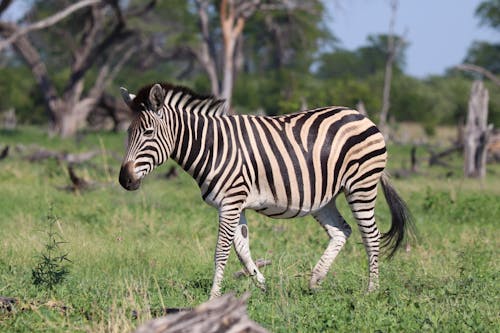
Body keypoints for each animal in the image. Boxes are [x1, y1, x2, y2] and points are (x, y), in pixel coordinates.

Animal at [119, 82, 412, 298]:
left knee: (370, 235)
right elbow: (241, 249)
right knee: (342, 231)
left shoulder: (231, 200)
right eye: (128, 132)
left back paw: (371, 291)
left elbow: (221, 250)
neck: (213, 146)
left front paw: (214, 296)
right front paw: (262, 284)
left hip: (361, 186)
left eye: (147, 132)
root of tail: (362, 116)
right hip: (324, 198)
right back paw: (315, 281)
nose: (125, 180)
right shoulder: (234, 203)